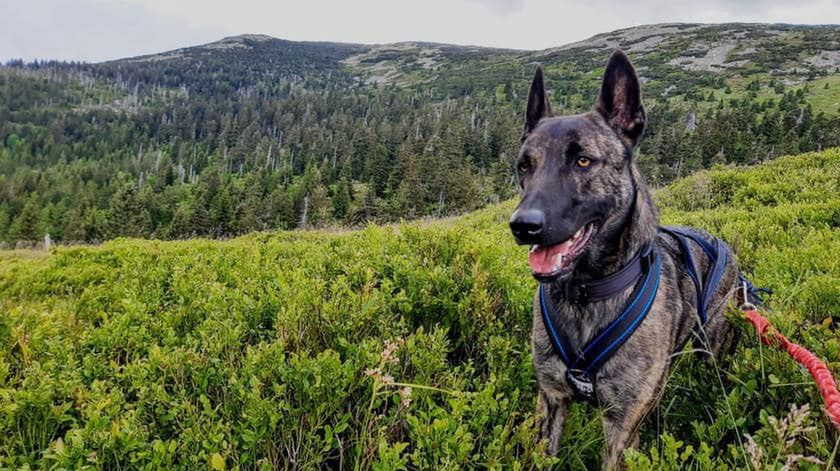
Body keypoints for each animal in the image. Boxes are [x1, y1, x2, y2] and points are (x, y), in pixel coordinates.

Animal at [508, 49, 740, 470]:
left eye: (583, 161)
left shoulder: (622, 425)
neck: (586, 291)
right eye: (524, 166)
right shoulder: (551, 399)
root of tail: (720, 241)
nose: (523, 226)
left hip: (713, 353)